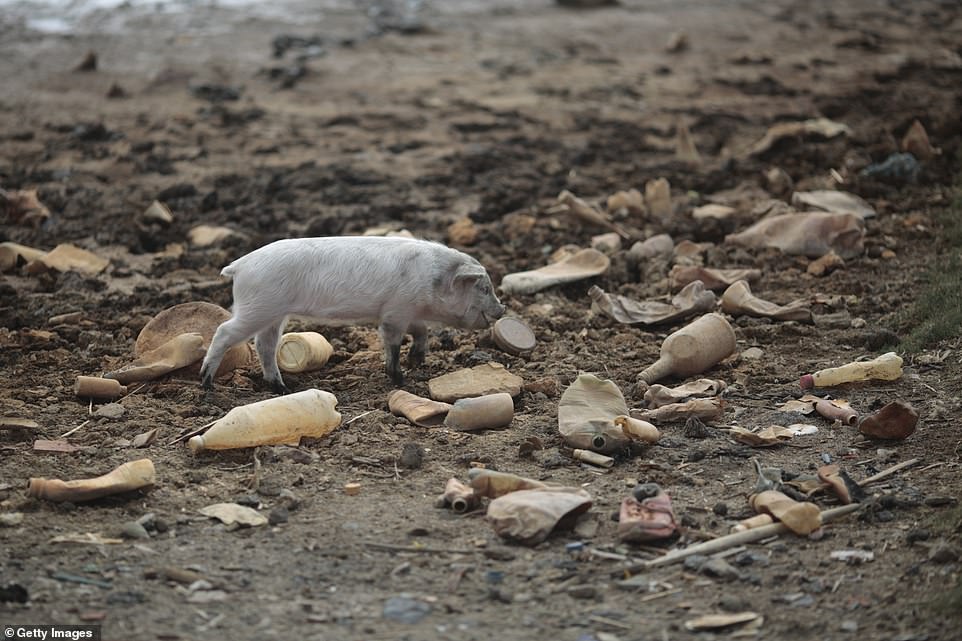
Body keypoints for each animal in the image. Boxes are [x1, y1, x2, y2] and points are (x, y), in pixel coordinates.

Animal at [199, 236, 506, 392]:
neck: (433, 282)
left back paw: (282, 389)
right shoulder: (395, 312)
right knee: (225, 332)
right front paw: (400, 380)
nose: (502, 309)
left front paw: (417, 360)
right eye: (484, 288)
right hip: (258, 307)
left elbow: (421, 331)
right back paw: (206, 384)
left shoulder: (404, 311)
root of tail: (240, 265)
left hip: (273, 314)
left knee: (265, 345)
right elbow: (393, 343)